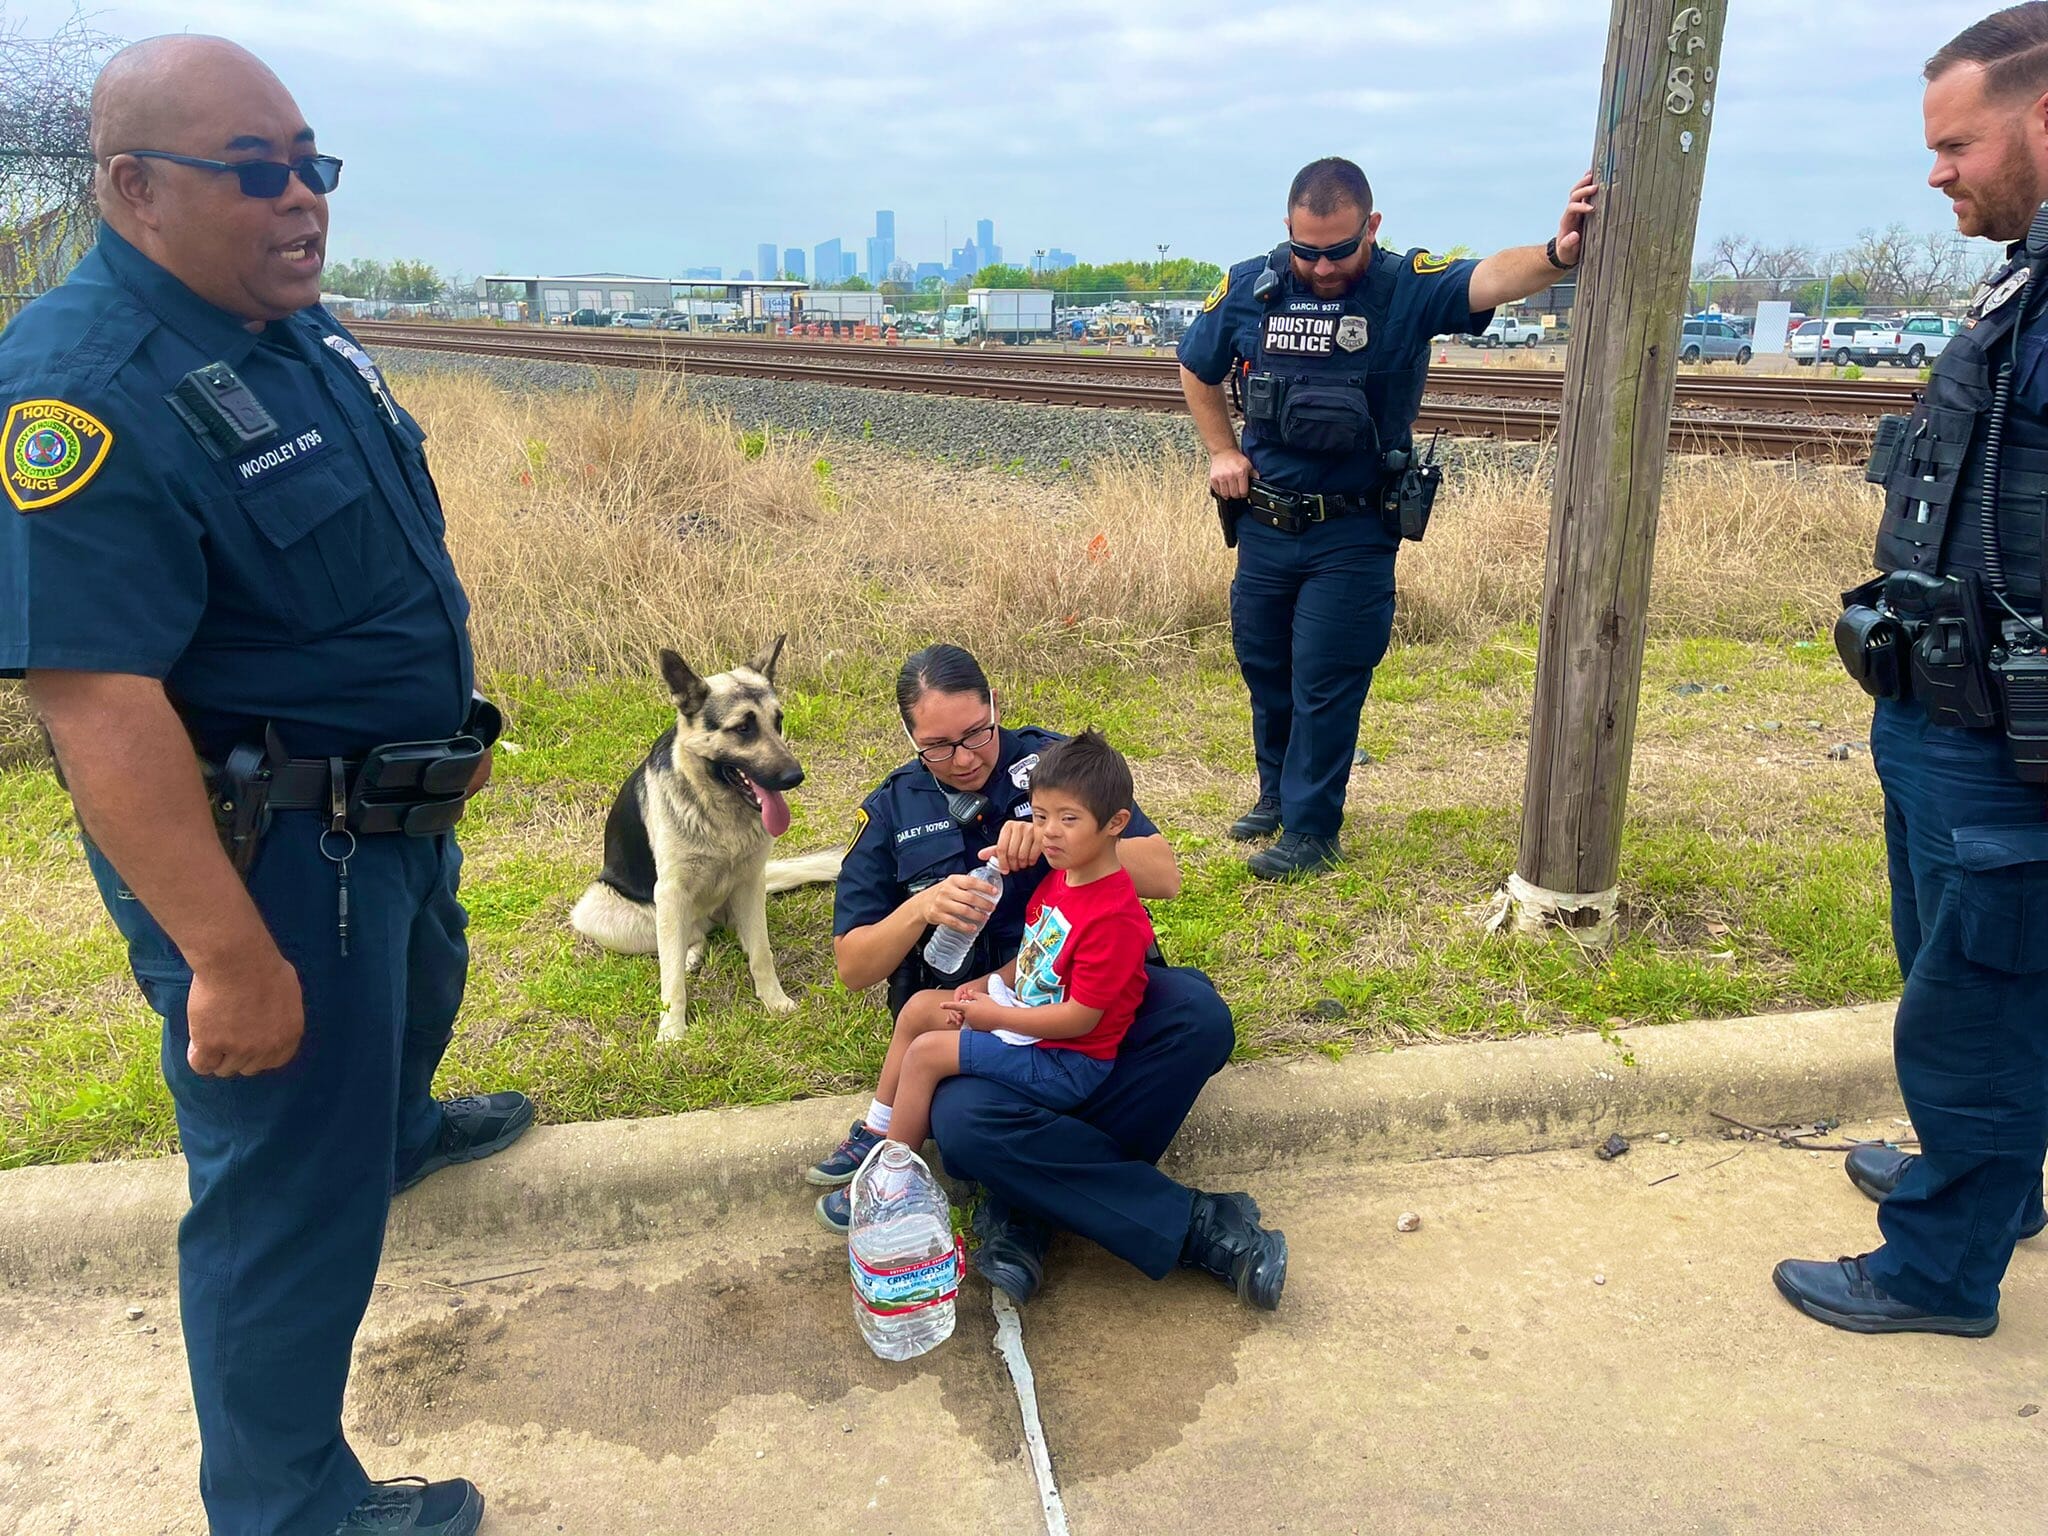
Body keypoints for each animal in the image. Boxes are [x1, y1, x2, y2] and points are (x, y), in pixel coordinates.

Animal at [569, 638, 839, 1048]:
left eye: (778, 721)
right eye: (743, 728)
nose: (795, 777)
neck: (719, 810)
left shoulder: (750, 880)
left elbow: (762, 954)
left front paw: (774, 1002)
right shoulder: (670, 892)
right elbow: (671, 981)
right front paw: (671, 1032)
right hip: (602, 910)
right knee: (686, 939)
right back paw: (689, 955)